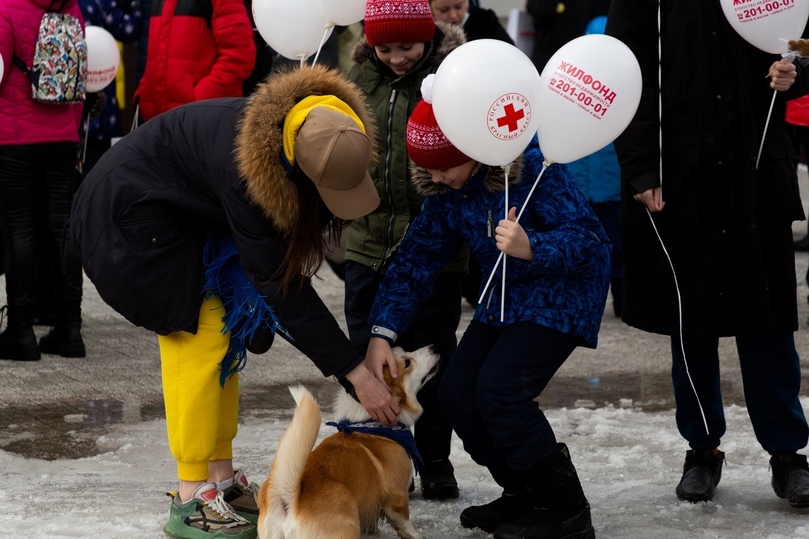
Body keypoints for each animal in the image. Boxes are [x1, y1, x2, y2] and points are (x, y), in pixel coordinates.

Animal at [258, 346, 436, 539]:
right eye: (407, 363)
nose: (434, 347)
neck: (371, 424)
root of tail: (289, 499)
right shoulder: (398, 495)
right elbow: (404, 522)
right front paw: (415, 535)